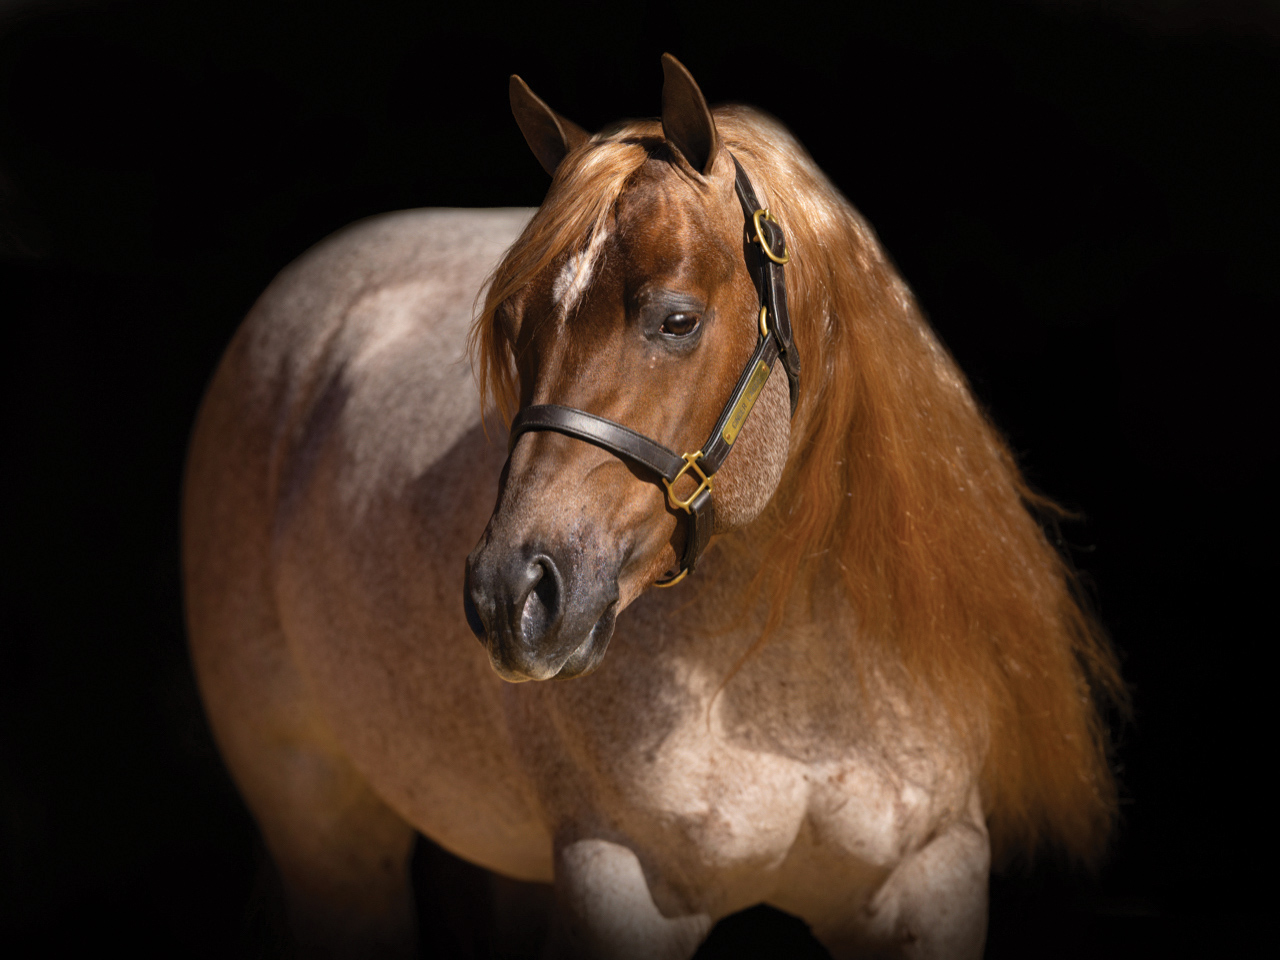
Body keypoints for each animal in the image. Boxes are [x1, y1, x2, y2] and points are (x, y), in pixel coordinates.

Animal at [182, 54, 1122, 959]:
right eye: (515, 327)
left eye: (676, 320)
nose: (510, 595)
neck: (796, 688)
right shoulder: (622, 881)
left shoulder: (933, 877)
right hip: (331, 846)